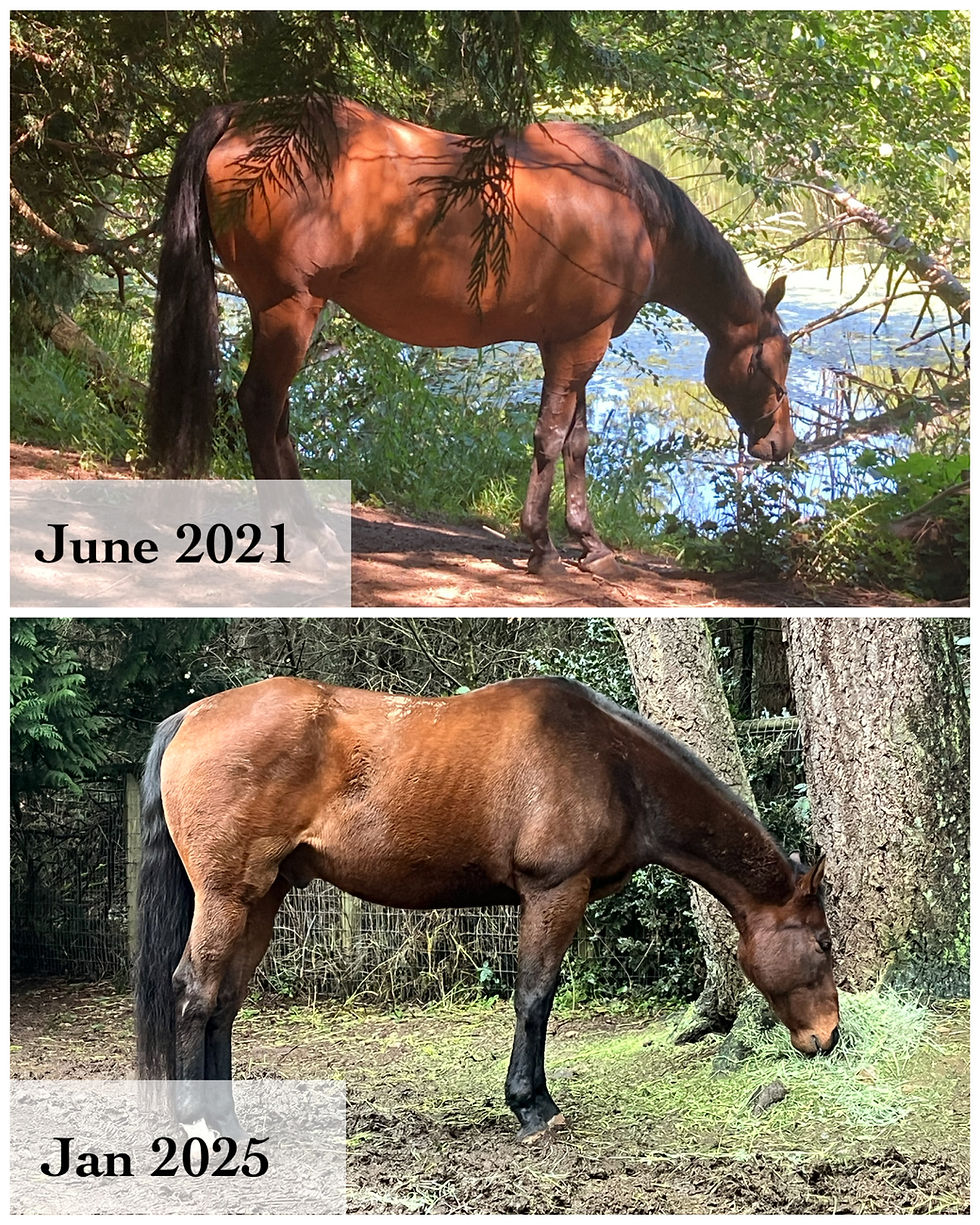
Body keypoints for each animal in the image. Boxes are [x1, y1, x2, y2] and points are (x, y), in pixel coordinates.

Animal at [134, 676, 839, 1143]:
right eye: (823, 943)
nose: (828, 1037)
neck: (614, 765)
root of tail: (192, 714)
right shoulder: (554, 893)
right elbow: (535, 997)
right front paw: (532, 1107)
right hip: (227, 897)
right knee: (194, 992)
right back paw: (196, 1123)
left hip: (260, 898)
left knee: (224, 1001)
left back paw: (226, 1117)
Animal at [146, 97, 794, 577]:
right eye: (775, 359)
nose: (780, 445)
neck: (630, 210)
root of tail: (243, 117)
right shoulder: (579, 346)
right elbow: (550, 438)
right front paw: (542, 548)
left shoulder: (573, 342)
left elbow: (577, 445)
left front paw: (590, 544)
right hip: (290, 309)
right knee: (260, 406)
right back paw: (305, 534)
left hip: (279, 314)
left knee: (275, 414)